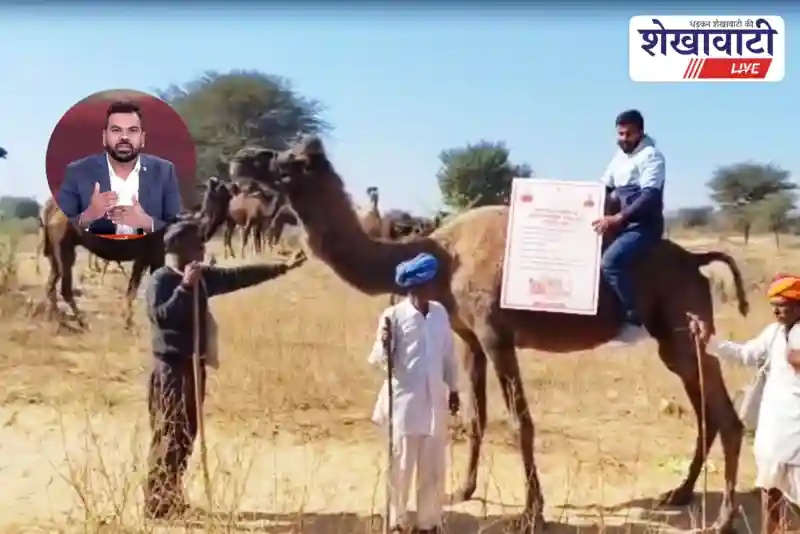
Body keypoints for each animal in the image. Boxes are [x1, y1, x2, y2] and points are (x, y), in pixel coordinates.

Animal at [229, 137, 749, 534]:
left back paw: (722, 518)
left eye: (288, 160)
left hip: (683, 327)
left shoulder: (497, 334)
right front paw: (464, 488)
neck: (442, 254)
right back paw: (678, 494)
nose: (240, 158)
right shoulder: (469, 338)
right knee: (705, 409)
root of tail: (697, 261)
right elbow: (476, 415)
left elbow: (521, 422)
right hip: (674, 340)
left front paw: (532, 513)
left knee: (726, 415)